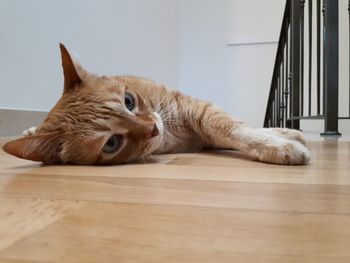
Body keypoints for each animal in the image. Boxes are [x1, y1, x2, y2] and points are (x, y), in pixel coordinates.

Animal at [2, 44, 308, 166]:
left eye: (128, 101)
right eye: (111, 143)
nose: (153, 128)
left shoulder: (200, 111)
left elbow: (235, 129)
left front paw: (277, 143)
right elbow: (231, 131)